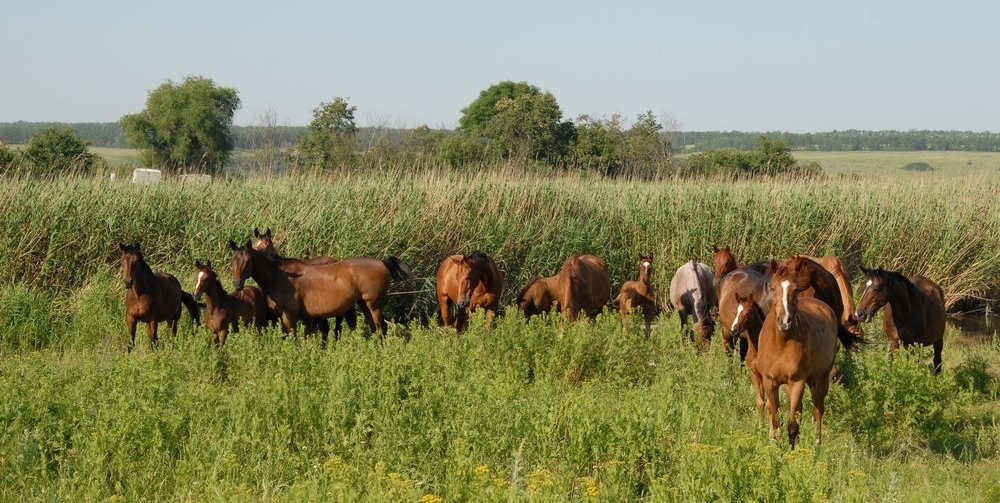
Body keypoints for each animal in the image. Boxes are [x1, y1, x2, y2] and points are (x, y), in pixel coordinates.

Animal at [229, 241, 412, 342]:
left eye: (247, 261)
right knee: (374, 328)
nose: (237, 283)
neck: (281, 276)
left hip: (374, 306)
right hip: (364, 305)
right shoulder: (303, 318)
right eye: (233, 260)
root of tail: (382, 263)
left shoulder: (290, 317)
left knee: (382, 329)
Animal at [756, 260, 844, 448]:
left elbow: (792, 425)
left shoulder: (797, 382)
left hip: (821, 379)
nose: (784, 321)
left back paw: (817, 444)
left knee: (818, 409)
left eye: (795, 289)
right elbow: (775, 417)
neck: (780, 343)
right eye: (772, 287)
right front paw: (774, 444)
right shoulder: (769, 382)